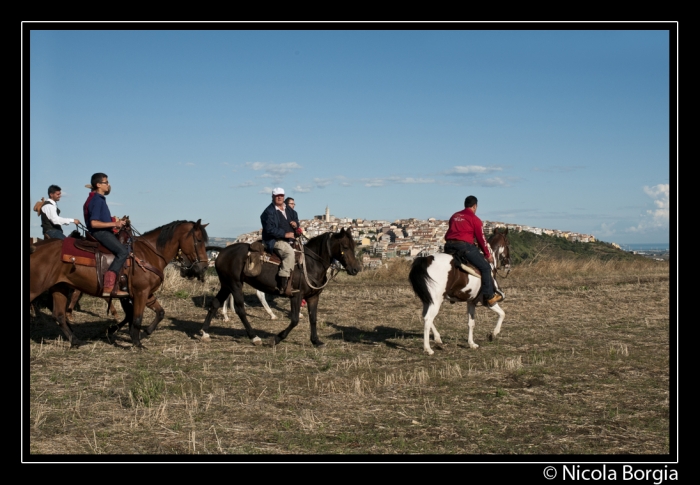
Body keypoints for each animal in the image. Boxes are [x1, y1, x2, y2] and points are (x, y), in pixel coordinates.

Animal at [30, 217, 209, 346]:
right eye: (199, 240)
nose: (204, 267)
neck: (149, 253)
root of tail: (35, 247)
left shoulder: (146, 293)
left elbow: (160, 313)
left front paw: (143, 333)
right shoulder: (140, 293)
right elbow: (136, 317)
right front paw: (136, 342)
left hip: (59, 287)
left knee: (59, 315)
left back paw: (76, 341)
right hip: (36, 287)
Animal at [198, 228, 358, 346]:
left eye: (354, 246)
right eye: (345, 246)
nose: (355, 269)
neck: (311, 264)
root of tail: (222, 251)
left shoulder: (313, 297)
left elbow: (313, 318)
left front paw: (315, 341)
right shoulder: (296, 296)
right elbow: (295, 320)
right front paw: (276, 339)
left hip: (226, 285)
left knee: (215, 303)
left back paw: (205, 333)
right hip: (234, 284)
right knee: (240, 310)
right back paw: (254, 337)